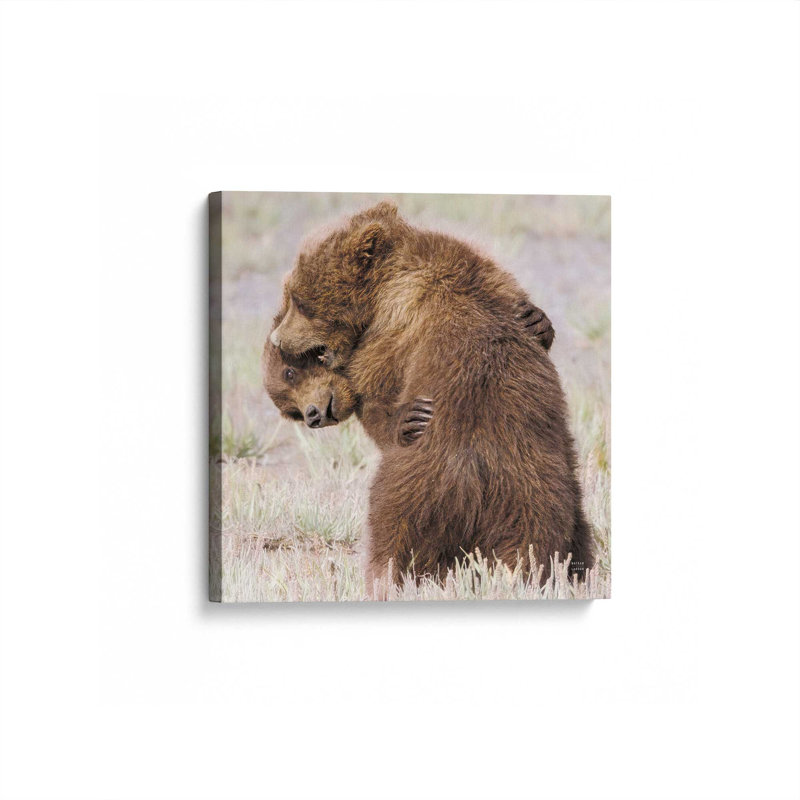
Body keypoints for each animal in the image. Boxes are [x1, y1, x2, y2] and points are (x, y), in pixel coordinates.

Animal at [268, 201, 593, 585]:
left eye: (300, 301)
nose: (276, 339)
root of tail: (478, 477)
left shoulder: (390, 335)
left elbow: (378, 391)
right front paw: (537, 321)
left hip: (419, 485)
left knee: (391, 527)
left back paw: (383, 575)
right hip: (540, 491)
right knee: (543, 539)